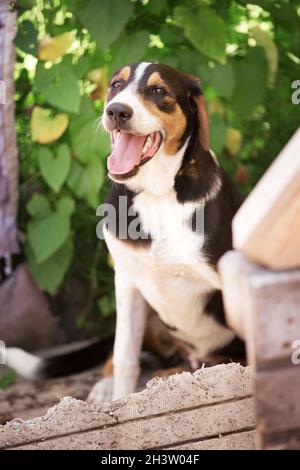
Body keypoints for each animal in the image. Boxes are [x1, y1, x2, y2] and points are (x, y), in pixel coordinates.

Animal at [4, 60, 244, 402]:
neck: (157, 193)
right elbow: (125, 357)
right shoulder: (128, 280)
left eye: (158, 90)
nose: (117, 111)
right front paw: (119, 399)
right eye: (117, 85)